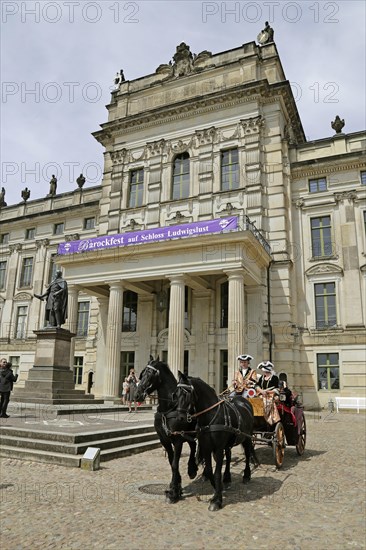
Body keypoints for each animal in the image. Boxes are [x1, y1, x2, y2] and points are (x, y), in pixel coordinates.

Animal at [134, 358, 197, 504]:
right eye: (142, 373)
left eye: (150, 374)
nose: (137, 395)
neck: (168, 407)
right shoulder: (164, 440)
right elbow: (171, 461)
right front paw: (177, 487)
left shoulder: (178, 440)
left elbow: (174, 464)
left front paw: (173, 492)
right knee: (193, 445)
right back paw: (192, 468)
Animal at [177, 370, 258, 512]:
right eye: (176, 394)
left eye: (186, 393)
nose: (180, 418)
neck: (210, 416)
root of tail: (245, 401)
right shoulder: (206, 447)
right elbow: (210, 471)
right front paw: (217, 490)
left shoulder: (218, 448)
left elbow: (216, 473)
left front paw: (217, 500)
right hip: (229, 443)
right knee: (229, 456)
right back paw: (227, 478)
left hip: (247, 438)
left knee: (248, 455)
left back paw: (247, 475)